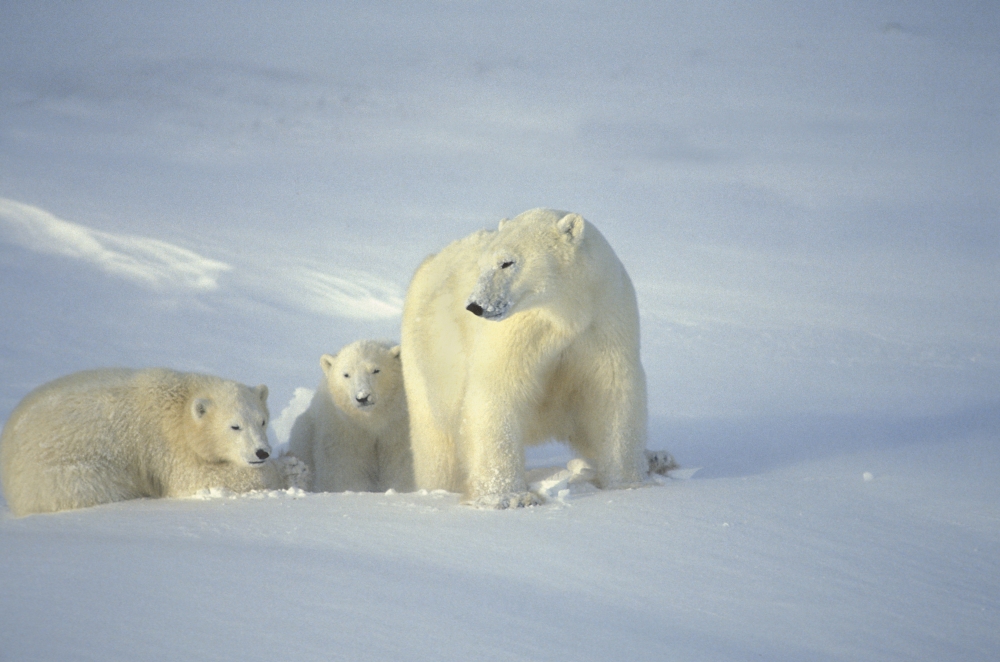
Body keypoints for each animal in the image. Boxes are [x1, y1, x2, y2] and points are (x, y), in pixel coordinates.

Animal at [0, 368, 308, 516]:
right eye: (235, 426)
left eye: (263, 420)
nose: (262, 452)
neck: (181, 401)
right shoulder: (163, 443)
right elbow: (192, 478)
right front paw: (292, 469)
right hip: (69, 475)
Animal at [287, 340, 413, 493]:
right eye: (346, 374)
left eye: (376, 370)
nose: (363, 397)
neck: (372, 419)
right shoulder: (344, 428)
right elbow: (347, 464)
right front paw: (352, 490)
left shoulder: (397, 424)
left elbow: (400, 461)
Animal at [401, 207, 655, 508]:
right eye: (482, 265)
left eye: (507, 262)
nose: (475, 305)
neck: (565, 313)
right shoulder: (518, 333)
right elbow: (497, 392)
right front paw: (508, 497)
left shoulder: (605, 321)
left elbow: (613, 393)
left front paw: (628, 483)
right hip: (427, 364)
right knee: (435, 445)